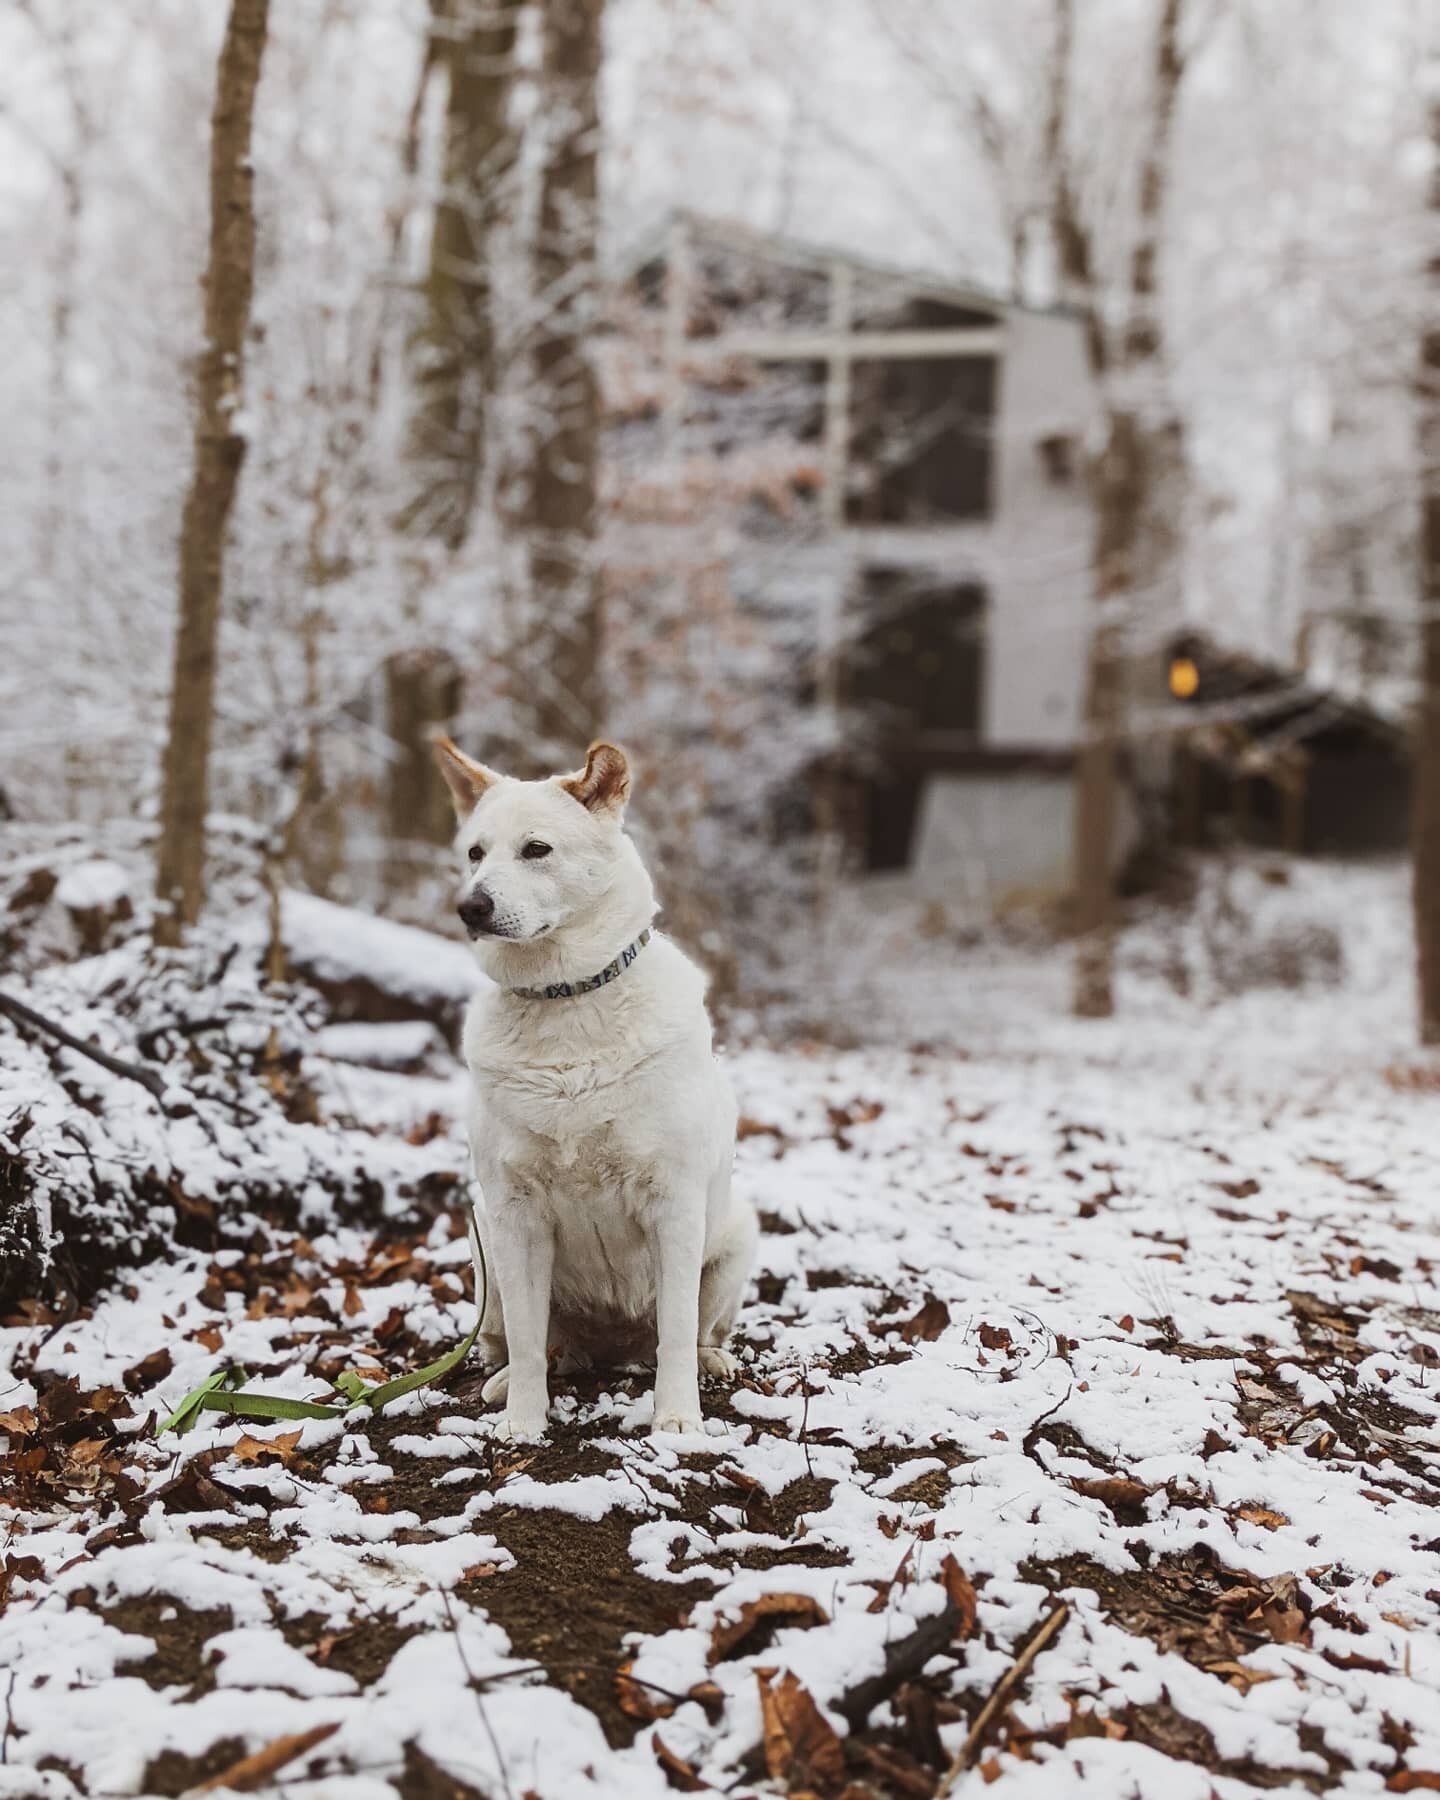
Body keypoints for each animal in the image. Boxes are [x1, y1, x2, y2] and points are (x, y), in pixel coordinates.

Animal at [433, 738, 759, 1440]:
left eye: (536, 849)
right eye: (475, 853)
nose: (470, 908)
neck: (566, 1000)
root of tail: (610, 1349)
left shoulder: (674, 1205)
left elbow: (675, 1331)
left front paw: (677, 1421)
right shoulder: (517, 1214)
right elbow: (528, 1340)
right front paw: (524, 1424)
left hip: (734, 1238)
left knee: (692, 1333)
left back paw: (711, 1362)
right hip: (485, 1248)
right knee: (529, 1344)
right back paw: (505, 1382)